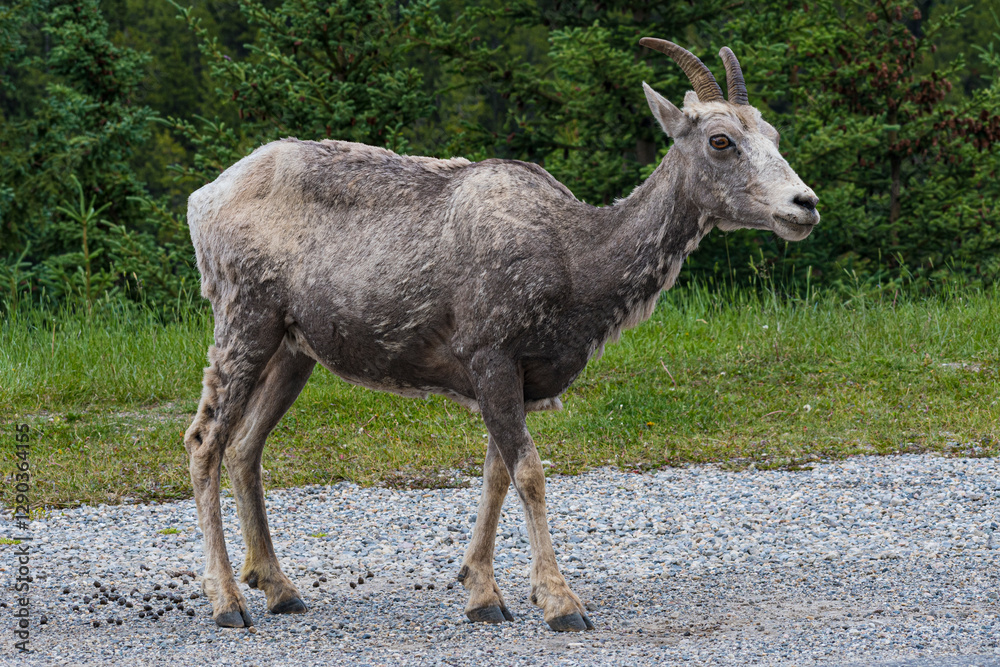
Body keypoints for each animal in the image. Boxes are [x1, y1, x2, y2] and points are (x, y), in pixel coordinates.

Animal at [183, 38, 819, 632]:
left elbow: (495, 474)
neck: (579, 265)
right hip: (245, 317)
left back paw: (279, 588)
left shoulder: (518, 375)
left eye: (773, 133)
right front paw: (560, 603)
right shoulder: (490, 353)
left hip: (294, 348)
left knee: (246, 446)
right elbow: (530, 473)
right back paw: (228, 601)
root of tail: (200, 202)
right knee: (205, 439)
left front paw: (484, 594)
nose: (804, 205)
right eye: (720, 140)